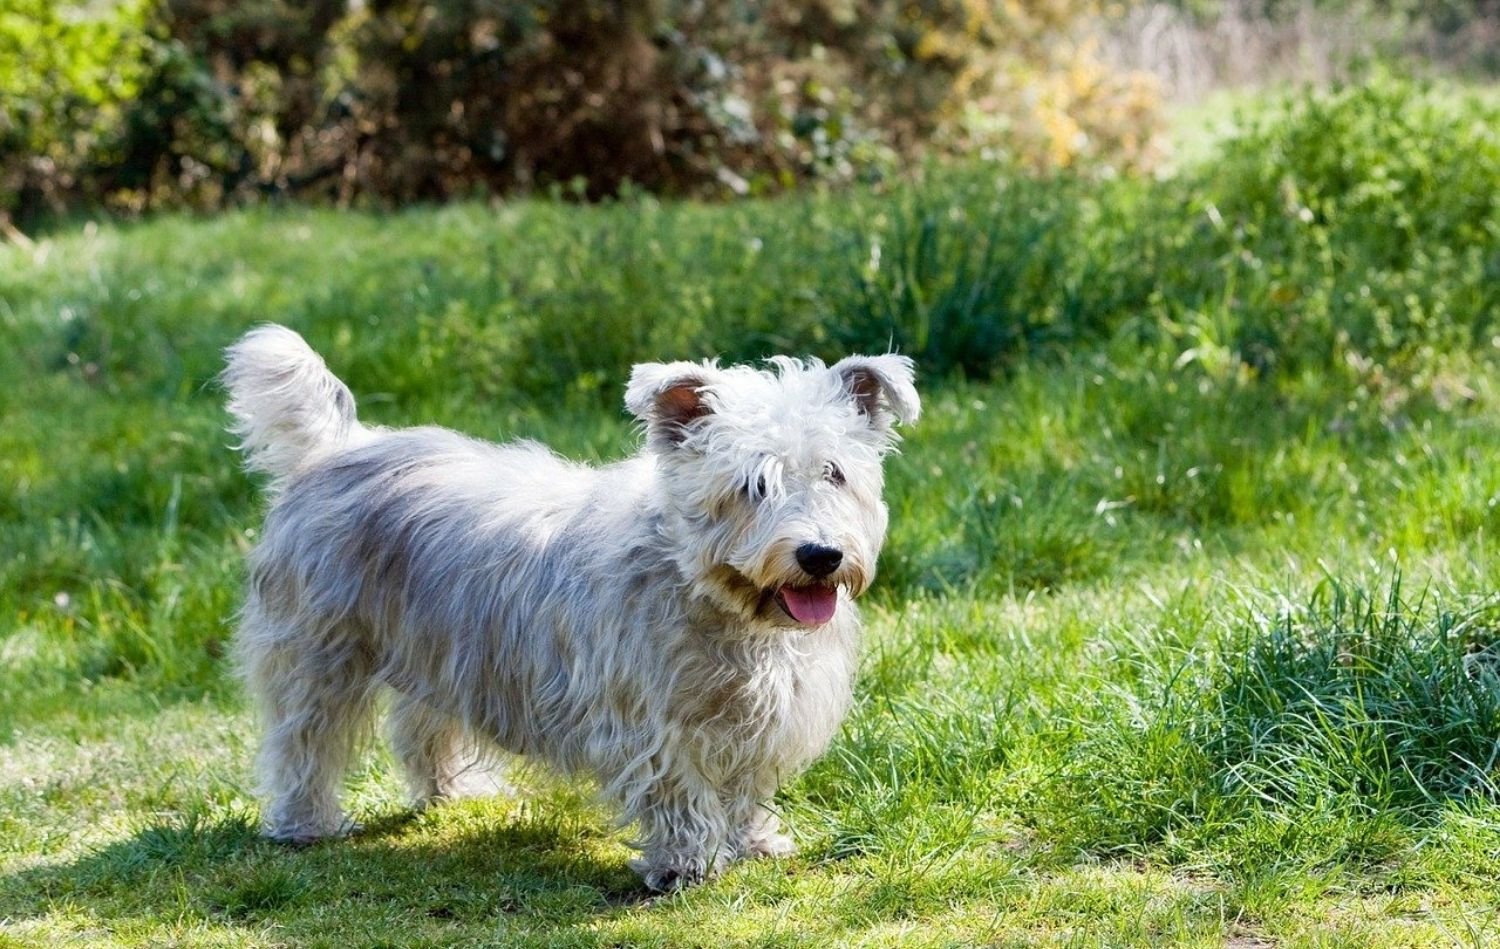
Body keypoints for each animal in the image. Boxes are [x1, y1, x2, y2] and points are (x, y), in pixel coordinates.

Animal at [220, 325, 918, 887]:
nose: (820, 555)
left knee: (422, 728)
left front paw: (754, 841)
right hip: (318, 655)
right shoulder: (649, 718)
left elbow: (745, 786)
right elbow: (679, 789)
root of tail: (335, 449)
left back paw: (454, 792)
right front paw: (686, 863)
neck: (705, 592)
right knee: (303, 742)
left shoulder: (761, 715)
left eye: (833, 473)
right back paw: (305, 823)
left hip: (441, 648)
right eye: (754, 484)